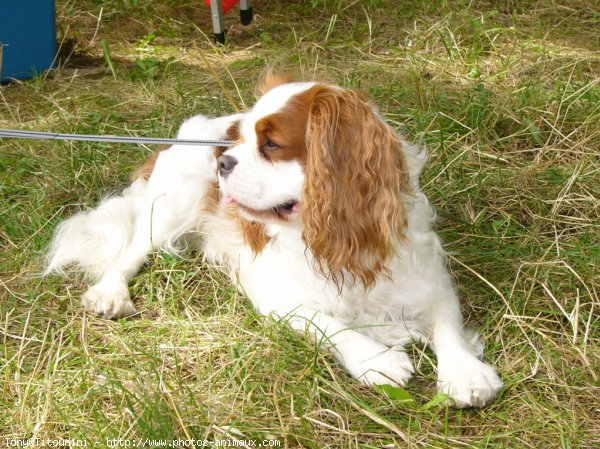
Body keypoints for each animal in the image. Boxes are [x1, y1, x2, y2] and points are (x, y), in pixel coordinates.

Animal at [47, 76, 502, 406]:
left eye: (271, 145)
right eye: (237, 143)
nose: (224, 160)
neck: (328, 237)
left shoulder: (425, 276)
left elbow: (446, 322)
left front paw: (464, 372)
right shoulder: (278, 297)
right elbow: (330, 324)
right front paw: (377, 358)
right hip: (175, 197)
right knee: (137, 246)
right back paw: (110, 293)